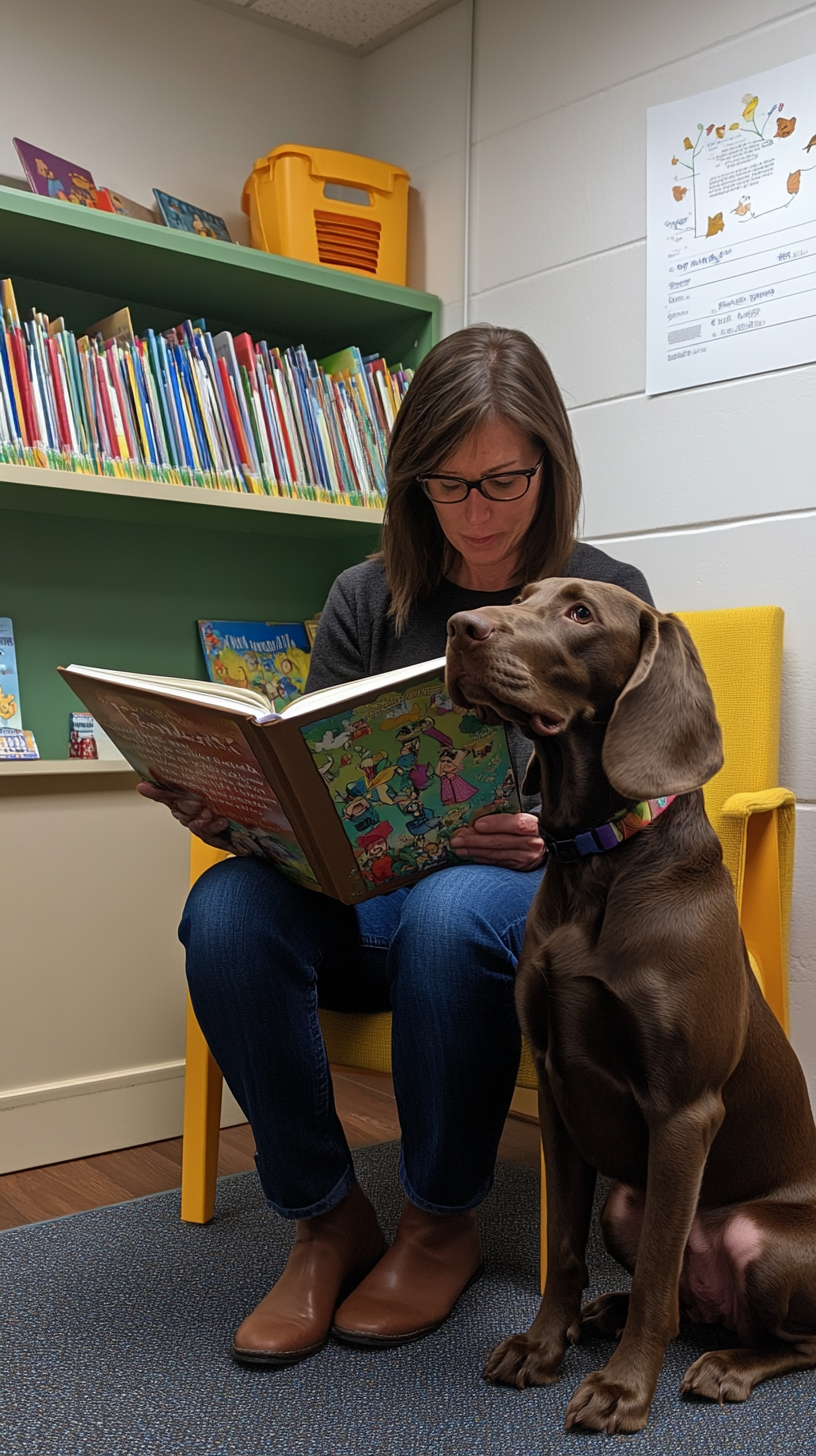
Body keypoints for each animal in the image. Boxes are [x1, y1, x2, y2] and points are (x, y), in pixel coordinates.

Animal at [445, 576, 816, 1432]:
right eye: (523, 595)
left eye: (580, 612)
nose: (459, 624)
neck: (599, 862)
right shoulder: (557, 1090)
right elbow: (563, 1247)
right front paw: (543, 1345)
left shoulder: (684, 1111)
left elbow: (653, 1277)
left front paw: (621, 1389)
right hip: (626, 1199)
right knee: (686, 1293)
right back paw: (602, 1316)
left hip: (764, 1240)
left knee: (780, 1333)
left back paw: (725, 1366)